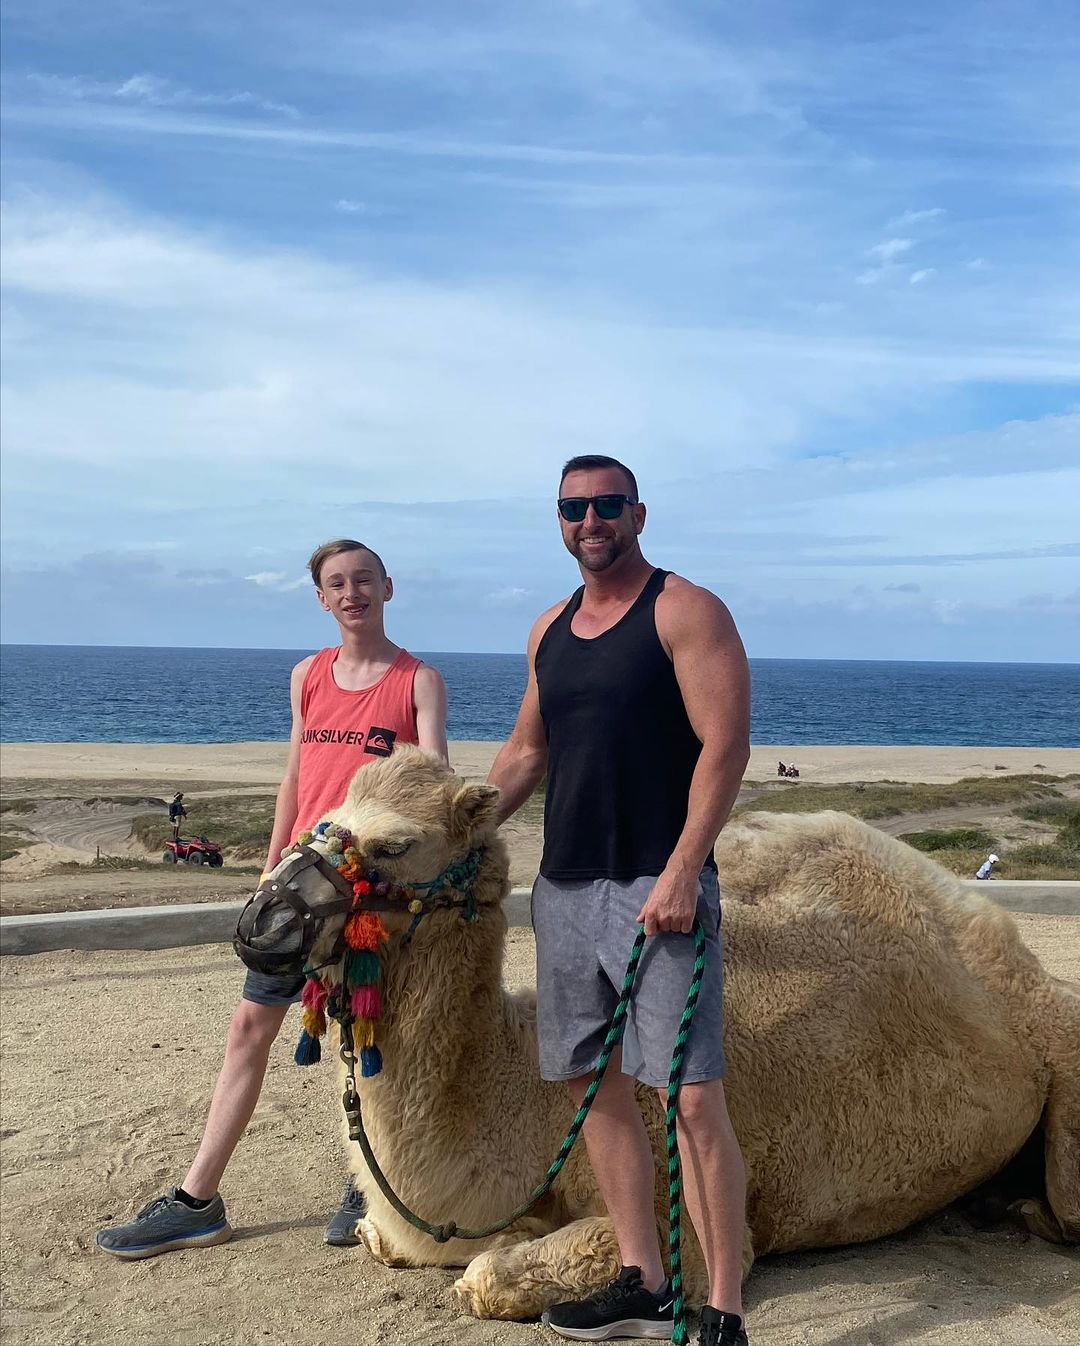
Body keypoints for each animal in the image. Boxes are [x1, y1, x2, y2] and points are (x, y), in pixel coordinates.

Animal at [238, 745, 1079, 1322]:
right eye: (321, 819)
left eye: (394, 846)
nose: (260, 922)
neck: (519, 1093)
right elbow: (381, 1235)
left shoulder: (689, 1219)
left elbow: (486, 1277)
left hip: (1063, 1052)